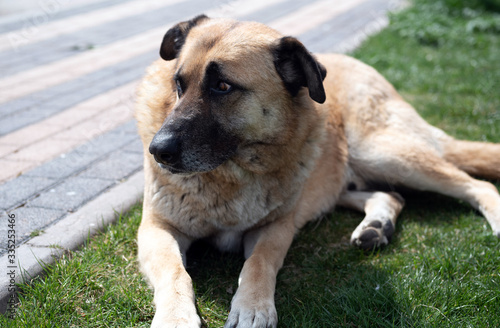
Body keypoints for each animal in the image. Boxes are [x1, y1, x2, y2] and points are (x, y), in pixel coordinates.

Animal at [134, 14, 500, 326]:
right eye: (178, 84)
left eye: (222, 86)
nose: (158, 151)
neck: (232, 173)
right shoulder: (156, 228)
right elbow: (174, 271)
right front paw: (176, 318)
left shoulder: (277, 226)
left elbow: (259, 262)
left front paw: (253, 307)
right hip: (341, 179)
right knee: (390, 194)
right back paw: (376, 226)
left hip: (382, 153)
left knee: (479, 186)